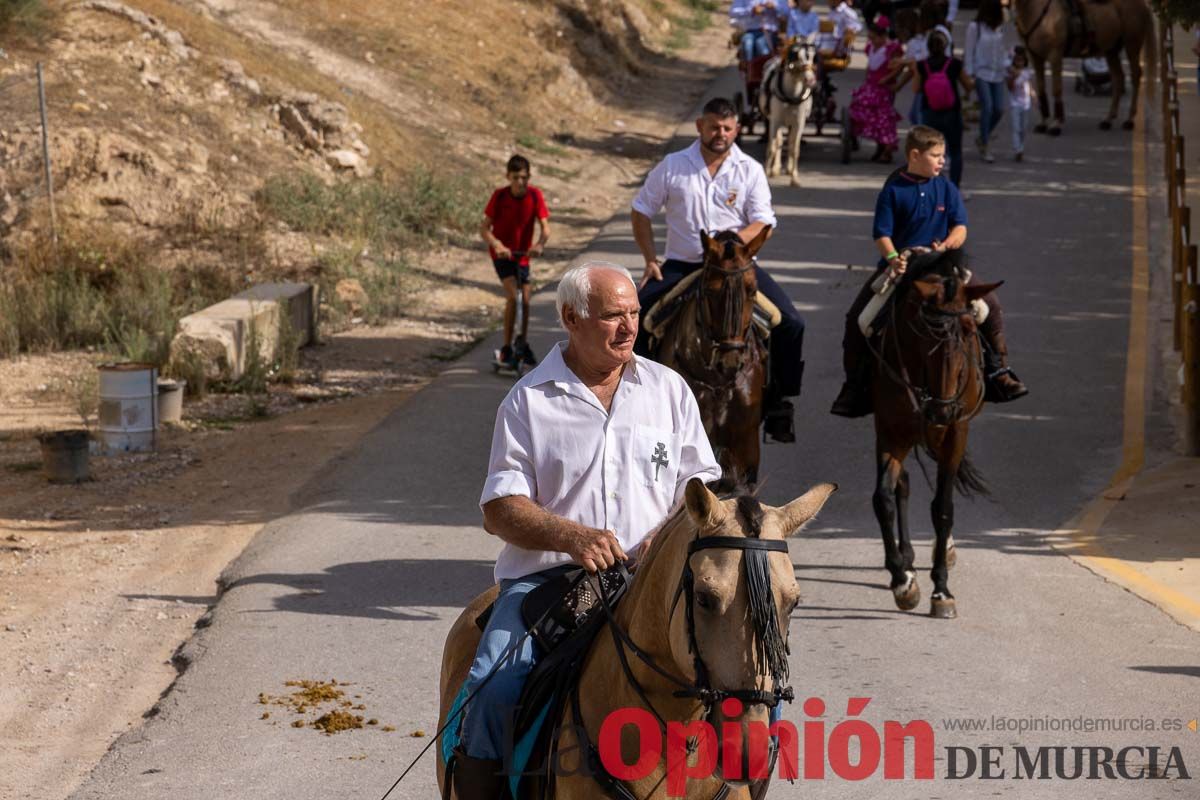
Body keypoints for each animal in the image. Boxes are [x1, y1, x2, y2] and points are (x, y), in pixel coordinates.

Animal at [868, 250, 998, 618]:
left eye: (968, 330)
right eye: (922, 332)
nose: (942, 410)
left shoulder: (955, 432)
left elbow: (942, 507)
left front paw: (941, 590)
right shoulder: (890, 430)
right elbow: (883, 498)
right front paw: (903, 581)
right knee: (903, 484)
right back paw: (907, 560)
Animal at [1017, 0, 1156, 133]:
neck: (1036, 9)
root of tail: (1143, 4)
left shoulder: (1055, 56)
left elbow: (1056, 89)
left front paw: (1056, 125)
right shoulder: (1035, 58)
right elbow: (1041, 89)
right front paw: (1043, 123)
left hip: (1132, 45)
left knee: (1135, 76)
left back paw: (1129, 120)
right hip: (1111, 50)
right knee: (1118, 78)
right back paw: (1108, 120)